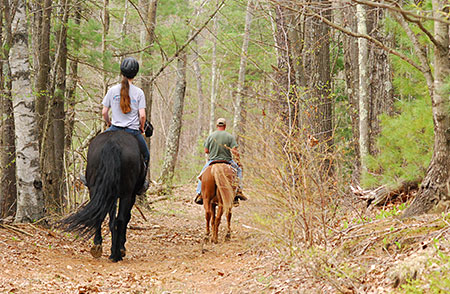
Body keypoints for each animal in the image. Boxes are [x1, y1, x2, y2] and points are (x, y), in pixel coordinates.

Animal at [60, 131, 145, 262]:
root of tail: (112, 143)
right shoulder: (131, 196)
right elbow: (125, 218)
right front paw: (121, 248)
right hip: (126, 194)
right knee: (121, 219)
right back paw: (117, 253)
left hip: (97, 190)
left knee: (100, 216)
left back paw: (99, 248)